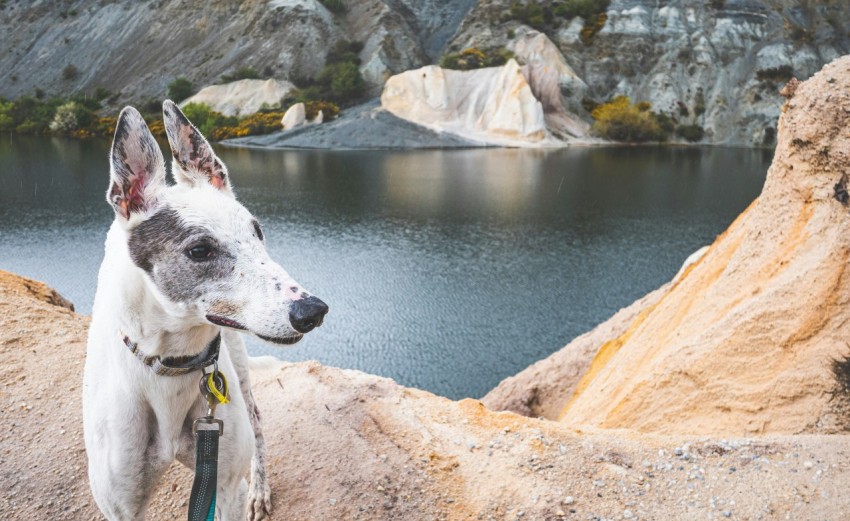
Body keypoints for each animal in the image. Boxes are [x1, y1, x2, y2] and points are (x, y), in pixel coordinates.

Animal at [83, 99, 328, 516]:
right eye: (200, 250)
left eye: (257, 231)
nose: (312, 311)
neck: (170, 368)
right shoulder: (121, 506)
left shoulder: (225, 485)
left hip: (240, 373)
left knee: (257, 420)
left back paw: (260, 489)